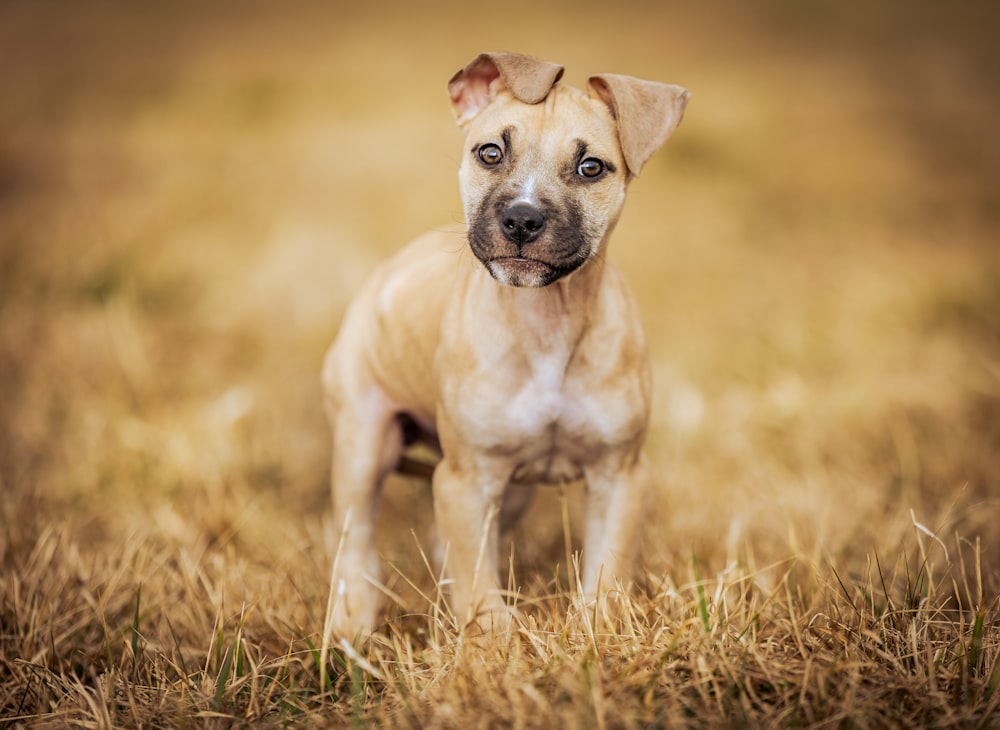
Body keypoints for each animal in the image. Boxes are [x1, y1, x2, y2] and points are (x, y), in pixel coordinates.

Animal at [320, 51, 688, 636]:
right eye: (490, 152)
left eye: (591, 167)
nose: (521, 218)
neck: (546, 322)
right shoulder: (465, 481)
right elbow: (479, 590)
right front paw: (490, 644)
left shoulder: (619, 476)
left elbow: (606, 575)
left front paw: (597, 634)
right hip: (363, 441)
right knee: (354, 535)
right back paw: (350, 621)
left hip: (509, 491)